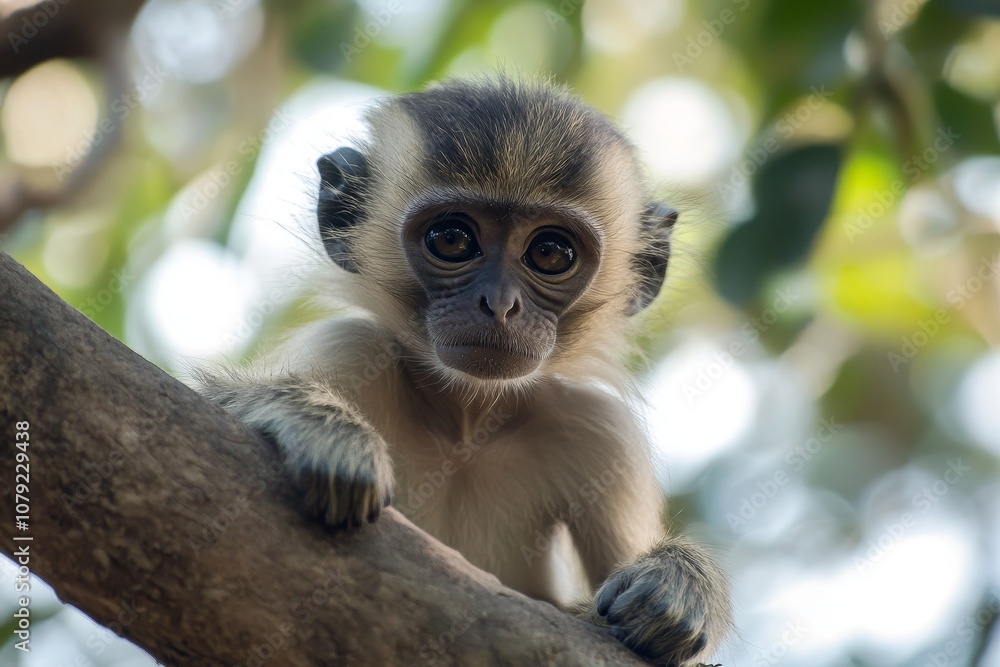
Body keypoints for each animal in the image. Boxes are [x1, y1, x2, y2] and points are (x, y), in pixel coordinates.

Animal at [195, 77, 731, 666]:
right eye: (451, 239)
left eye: (551, 251)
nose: (499, 305)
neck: (465, 421)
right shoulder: (348, 347)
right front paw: (320, 429)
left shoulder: (597, 428)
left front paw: (681, 583)